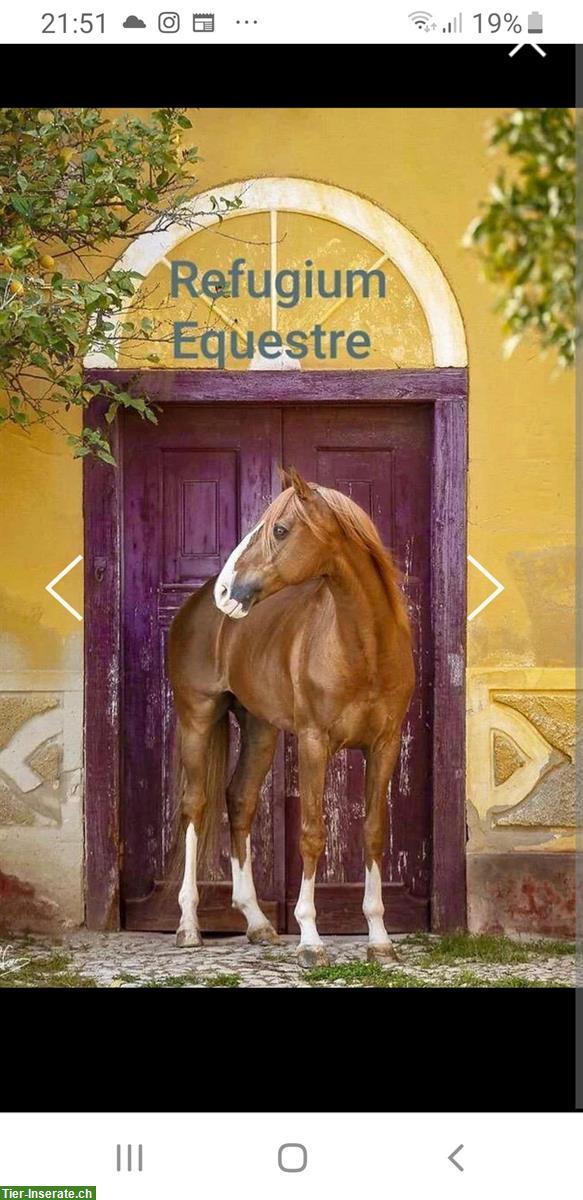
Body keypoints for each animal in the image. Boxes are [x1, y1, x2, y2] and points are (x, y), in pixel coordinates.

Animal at [167, 465, 415, 964]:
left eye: (280, 530)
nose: (226, 591)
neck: (364, 648)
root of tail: (196, 605)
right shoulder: (315, 742)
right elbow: (313, 832)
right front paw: (311, 938)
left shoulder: (385, 744)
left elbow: (374, 832)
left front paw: (379, 939)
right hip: (197, 719)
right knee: (194, 806)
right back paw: (188, 926)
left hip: (260, 729)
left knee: (239, 799)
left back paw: (258, 922)